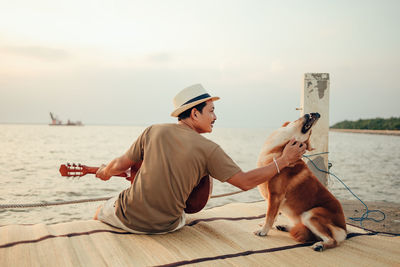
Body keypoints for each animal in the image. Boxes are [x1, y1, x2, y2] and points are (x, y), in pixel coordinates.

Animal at [256, 114, 346, 252]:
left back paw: (320, 245)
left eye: (310, 133)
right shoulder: (275, 200)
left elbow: (270, 216)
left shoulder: (276, 196)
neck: (281, 149)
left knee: (332, 240)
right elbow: (273, 215)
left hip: (310, 214)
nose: (317, 114)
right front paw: (265, 225)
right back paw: (286, 227)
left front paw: (264, 231)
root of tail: (344, 230)